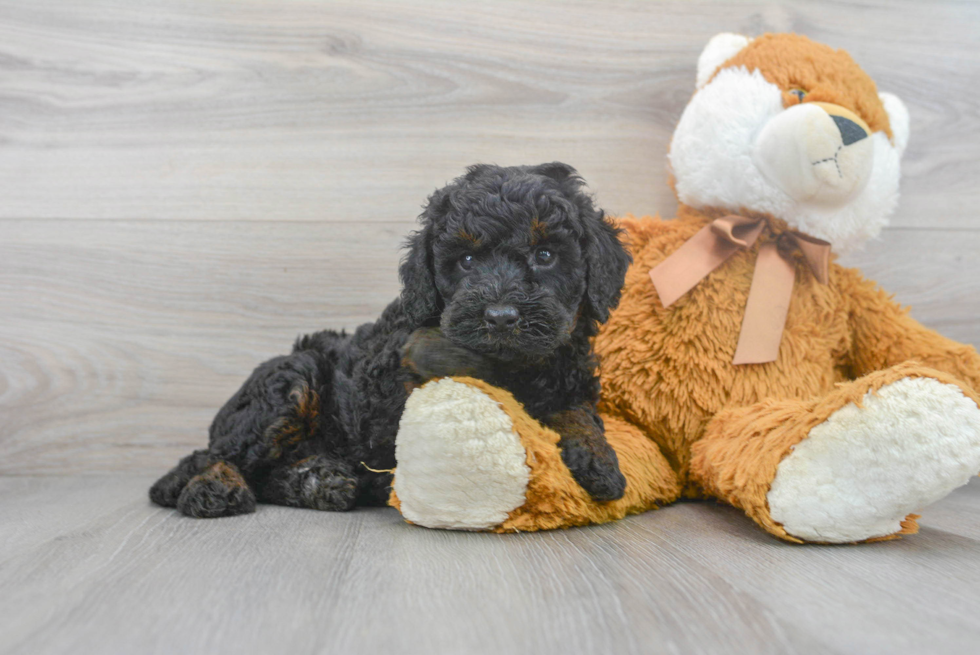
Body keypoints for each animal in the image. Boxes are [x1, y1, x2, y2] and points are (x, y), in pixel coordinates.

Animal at [149, 163, 632, 516]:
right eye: (467, 260)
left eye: (545, 255)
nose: (500, 317)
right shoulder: (389, 377)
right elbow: (440, 363)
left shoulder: (568, 373)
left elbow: (577, 411)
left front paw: (599, 460)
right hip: (292, 381)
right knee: (212, 455)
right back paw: (214, 487)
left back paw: (319, 480)